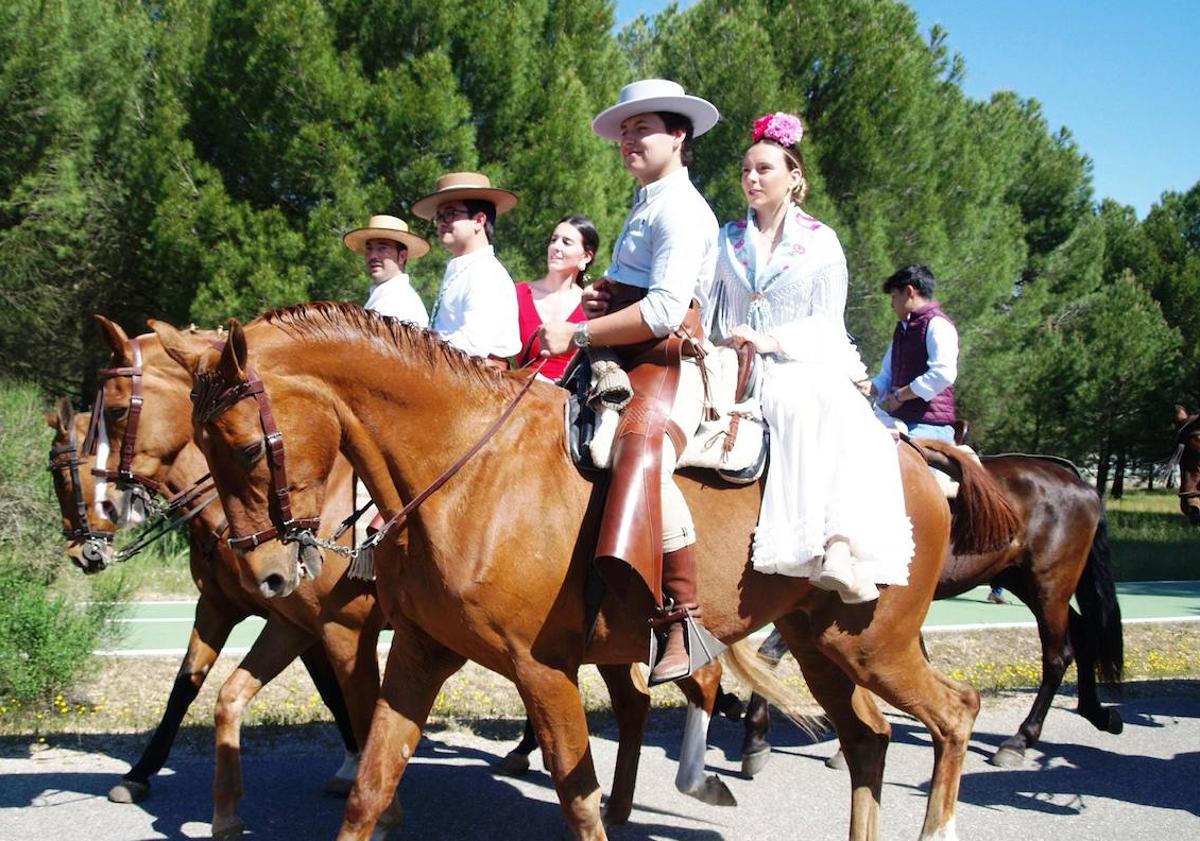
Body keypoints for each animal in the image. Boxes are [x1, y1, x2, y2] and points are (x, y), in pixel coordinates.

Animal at [147, 304, 1012, 839]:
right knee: (869, 739)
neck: (470, 467)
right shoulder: (421, 651)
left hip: (876, 642)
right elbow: (371, 782)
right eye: (201, 443)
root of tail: (912, 450)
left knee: (956, 713)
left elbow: (580, 801)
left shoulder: (543, 670)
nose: (263, 574)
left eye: (244, 447)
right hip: (821, 641)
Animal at [739, 448, 1123, 772]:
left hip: (1050, 585)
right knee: (1083, 634)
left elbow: (769, 653)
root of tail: (1074, 479)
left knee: (1057, 656)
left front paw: (756, 736)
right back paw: (1096, 712)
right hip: (1020, 579)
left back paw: (1020, 739)